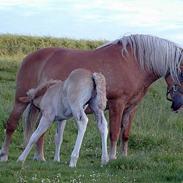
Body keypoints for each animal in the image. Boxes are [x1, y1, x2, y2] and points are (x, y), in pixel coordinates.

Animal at [0, 34, 183, 162]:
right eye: (180, 71)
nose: (178, 104)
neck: (133, 64)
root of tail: (28, 57)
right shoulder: (117, 104)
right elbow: (114, 133)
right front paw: (112, 157)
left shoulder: (131, 107)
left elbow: (125, 134)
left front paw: (123, 156)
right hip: (20, 100)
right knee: (11, 124)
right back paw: (5, 155)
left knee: (39, 131)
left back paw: (40, 157)